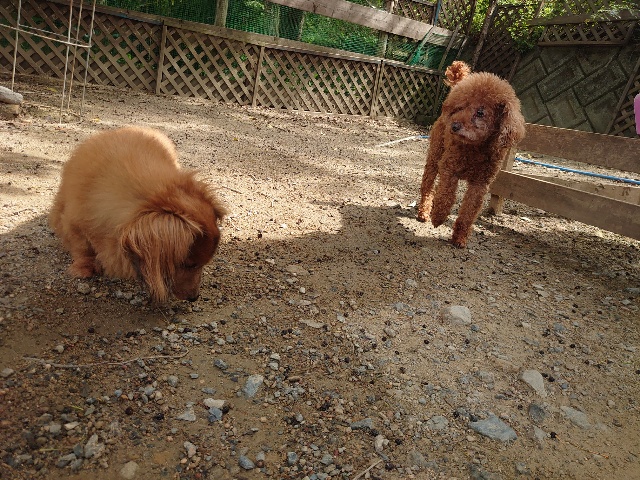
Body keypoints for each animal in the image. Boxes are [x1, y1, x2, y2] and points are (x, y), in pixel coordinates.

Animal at [417, 61, 525, 247]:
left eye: (480, 112)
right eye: (460, 107)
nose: (453, 126)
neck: (476, 149)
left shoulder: (480, 184)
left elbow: (468, 212)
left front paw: (459, 238)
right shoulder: (449, 169)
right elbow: (445, 195)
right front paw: (438, 216)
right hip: (435, 156)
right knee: (428, 187)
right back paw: (424, 212)